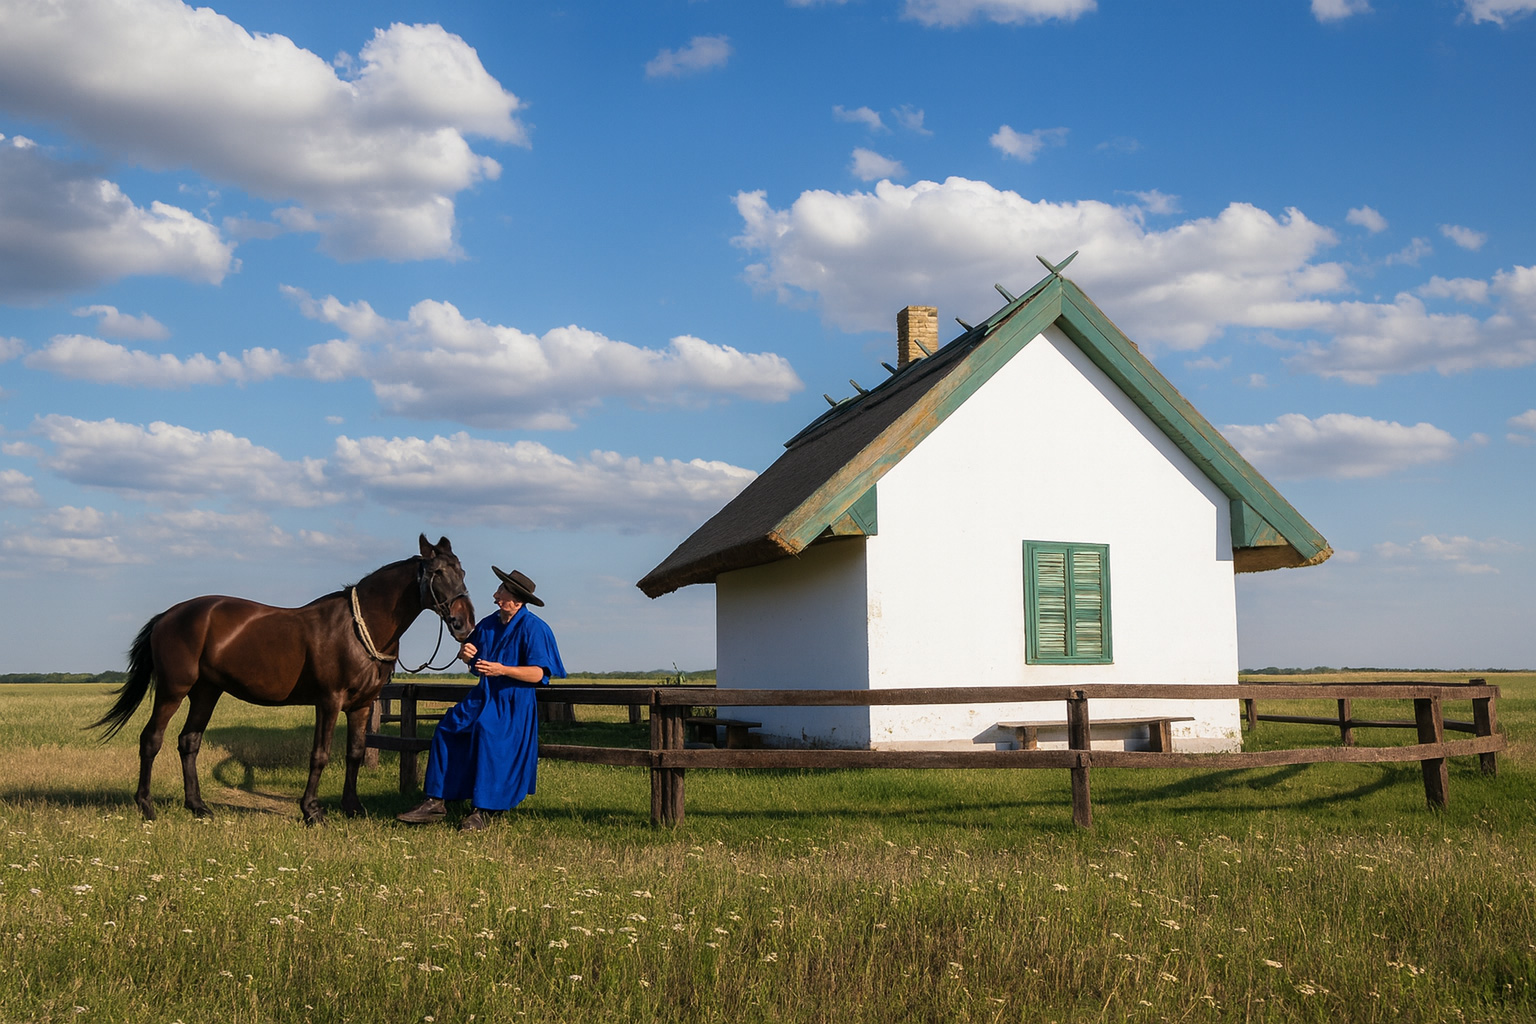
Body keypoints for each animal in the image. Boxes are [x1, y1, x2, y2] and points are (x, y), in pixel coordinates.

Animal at [92, 535, 476, 824]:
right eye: (437, 572)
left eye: (462, 570)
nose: (464, 624)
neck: (357, 627)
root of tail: (168, 616)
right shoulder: (329, 701)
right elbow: (320, 754)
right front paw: (312, 811)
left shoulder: (362, 705)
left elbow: (354, 753)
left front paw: (352, 807)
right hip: (174, 690)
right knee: (151, 739)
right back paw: (146, 807)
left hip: (206, 693)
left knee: (189, 742)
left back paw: (198, 807)